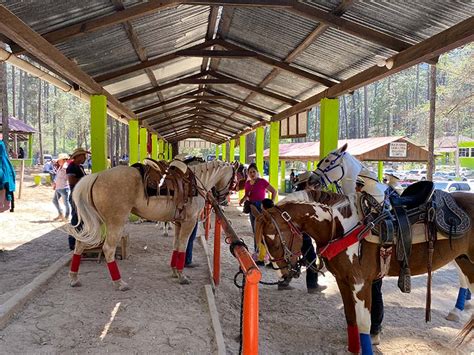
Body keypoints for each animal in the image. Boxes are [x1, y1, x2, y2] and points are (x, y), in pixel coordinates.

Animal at [65, 160, 236, 290]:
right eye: (234, 179)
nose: (222, 199)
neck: (195, 184)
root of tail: (97, 175)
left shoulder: (179, 223)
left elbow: (175, 247)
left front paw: (174, 271)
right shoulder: (189, 223)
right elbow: (182, 247)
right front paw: (182, 276)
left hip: (97, 220)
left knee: (80, 243)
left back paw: (74, 278)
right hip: (116, 222)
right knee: (108, 249)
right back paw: (119, 283)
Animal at [254, 192, 474, 355]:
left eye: (275, 241)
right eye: (265, 242)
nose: (285, 274)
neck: (339, 225)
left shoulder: (360, 283)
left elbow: (363, 324)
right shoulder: (343, 281)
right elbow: (350, 318)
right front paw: (353, 348)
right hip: (463, 260)